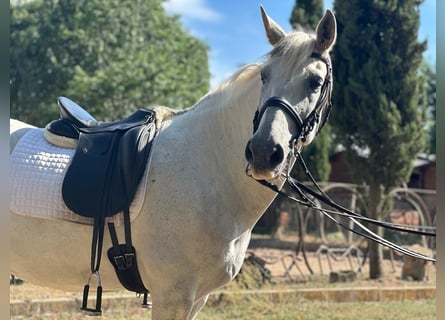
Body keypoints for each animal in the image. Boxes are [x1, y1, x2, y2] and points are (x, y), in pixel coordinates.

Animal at [9, 6, 336, 318]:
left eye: (315, 81)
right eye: (264, 76)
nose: (263, 152)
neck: (208, 166)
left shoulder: (197, 298)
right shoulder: (172, 295)